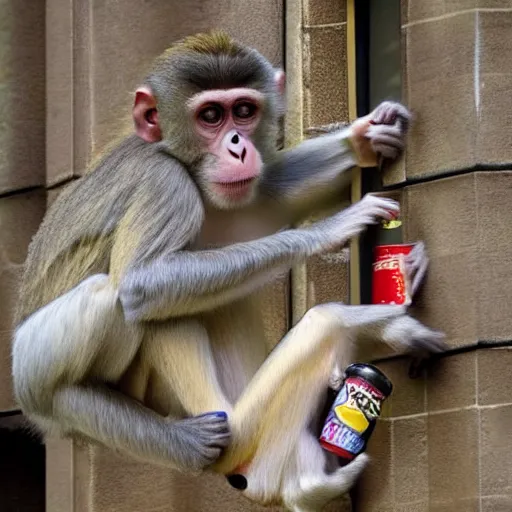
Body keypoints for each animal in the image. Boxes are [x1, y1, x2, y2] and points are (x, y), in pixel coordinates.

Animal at [12, 33, 444, 512]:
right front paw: (334, 233)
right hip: (34, 363)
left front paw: (368, 137)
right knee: (117, 299)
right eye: (211, 116)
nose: (237, 145)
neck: (173, 153)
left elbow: (268, 195)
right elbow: (143, 284)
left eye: (244, 110)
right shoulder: (166, 183)